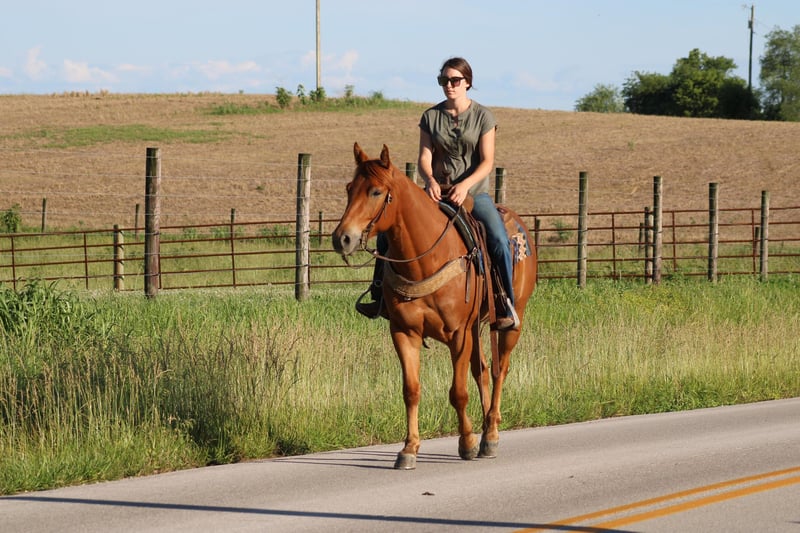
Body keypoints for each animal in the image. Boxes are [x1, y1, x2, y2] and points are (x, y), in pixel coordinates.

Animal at [332, 143, 537, 470]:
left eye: (376, 191)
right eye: (350, 188)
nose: (342, 238)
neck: (425, 257)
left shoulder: (459, 335)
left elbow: (458, 392)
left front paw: (466, 443)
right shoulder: (404, 332)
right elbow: (411, 391)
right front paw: (409, 448)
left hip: (510, 325)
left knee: (499, 371)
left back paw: (490, 435)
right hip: (477, 330)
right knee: (482, 370)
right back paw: (484, 431)